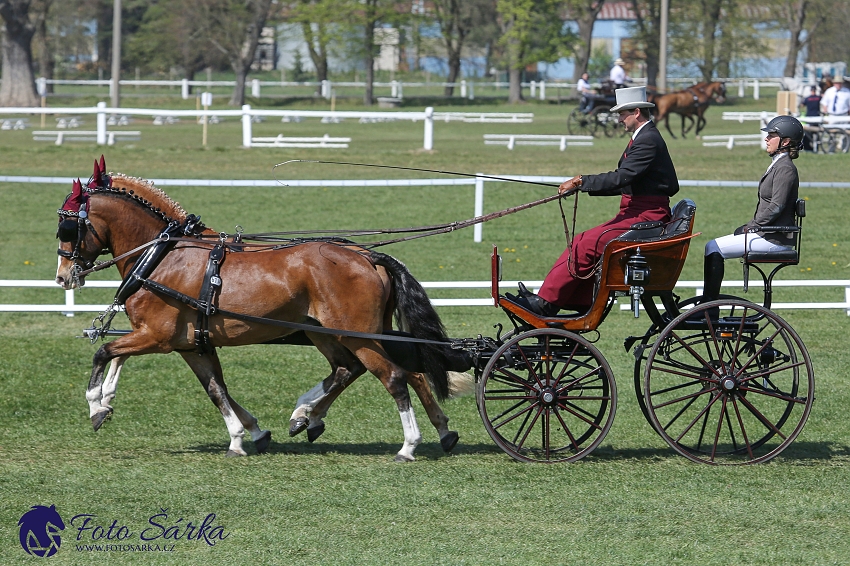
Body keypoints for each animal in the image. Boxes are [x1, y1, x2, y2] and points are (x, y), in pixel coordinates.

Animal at [56, 159, 474, 462]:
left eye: (66, 227)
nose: (63, 276)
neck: (162, 256)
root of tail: (368, 256)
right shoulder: (191, 344)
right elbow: (216, 389)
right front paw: (246, 435)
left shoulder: (156, 337)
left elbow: (104, 351)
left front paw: (96, 404)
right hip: (337, 332)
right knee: (374, 370)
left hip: (355, 334)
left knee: (394, 377)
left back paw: (407, 445)